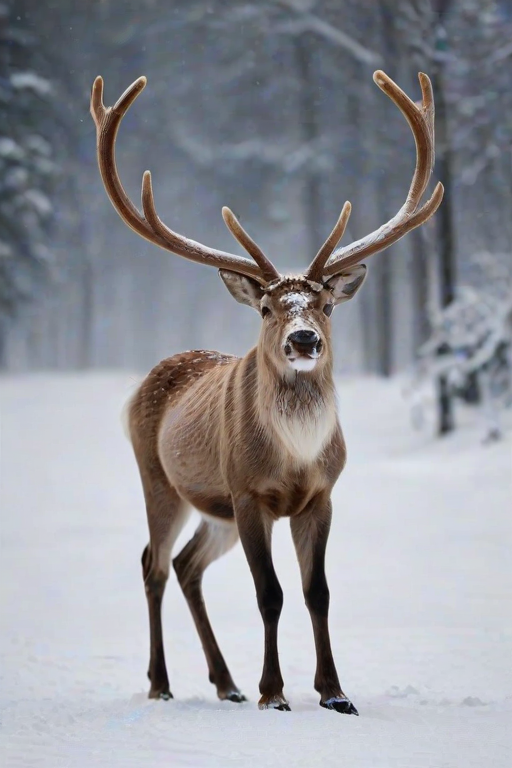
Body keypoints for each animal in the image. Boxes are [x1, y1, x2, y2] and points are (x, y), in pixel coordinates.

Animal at [90, 69, 443, 715]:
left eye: (325, 304)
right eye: (266, 307)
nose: (303, 338)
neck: (295, 455)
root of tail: (146, 381)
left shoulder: (321, 495)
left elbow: (317, 591)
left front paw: (334, 692)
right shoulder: (249, 491)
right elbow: (270, 593)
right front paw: (273, 693)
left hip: (215, 509)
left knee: (188, 565)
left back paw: (224, 682)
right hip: (160, 477)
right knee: (154, 563)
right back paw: (162, 683)